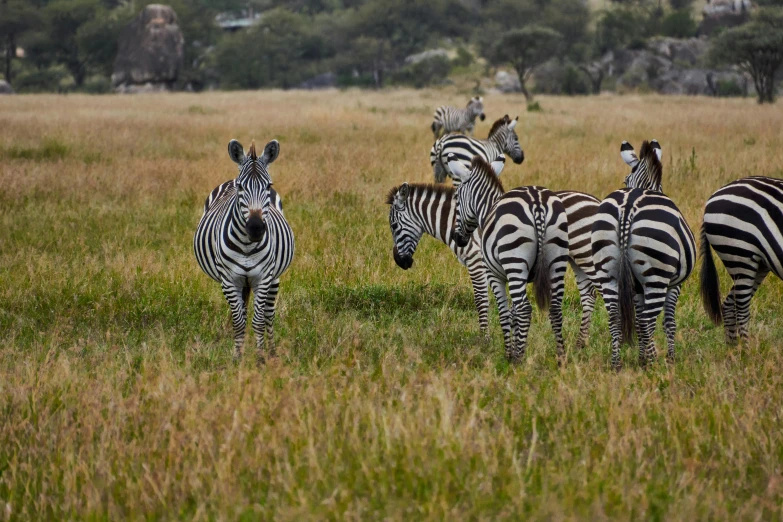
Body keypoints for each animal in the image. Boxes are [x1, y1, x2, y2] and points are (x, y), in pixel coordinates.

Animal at [194, 138, 296, 362]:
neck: (247, 246)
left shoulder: (263, 278)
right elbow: (239, 321)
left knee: (268, 314)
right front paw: (237, 358)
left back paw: (272, 352)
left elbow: (258, 320)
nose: (256, 228)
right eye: (241, 187)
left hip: (274, 278)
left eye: (268, 185)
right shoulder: (229, 279)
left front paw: (260, 359)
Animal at [448, 153, 568, 362]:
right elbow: (512, 314)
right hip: (556, 261)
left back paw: (518, 360)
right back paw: (560, 357)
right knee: (555, 308)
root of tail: (537, 203)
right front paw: (516, 345)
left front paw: (509, 353)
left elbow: (505, 313)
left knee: (524, 309)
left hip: (514, 260)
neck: (486, 208)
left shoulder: (494, 275)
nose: (458, 239)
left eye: (456, 198)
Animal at [592, 136, 696, 368]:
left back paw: (617, 364)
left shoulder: (635, 287)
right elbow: (668, 321)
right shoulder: (674, 285)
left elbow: (638, 319)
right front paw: (669, 358)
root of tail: (627, 208)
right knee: (649, 319)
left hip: (607, 273)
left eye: (625, 181)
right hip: (657, 276)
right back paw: (652, 363)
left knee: (615, 317)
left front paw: (641, 356)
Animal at [700, 177, 780, 344]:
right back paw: (747, 350)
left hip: (759, 263)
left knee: (729, 307)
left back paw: (734, 349)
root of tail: (712, 198)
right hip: (740, 256)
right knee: (741, 309)